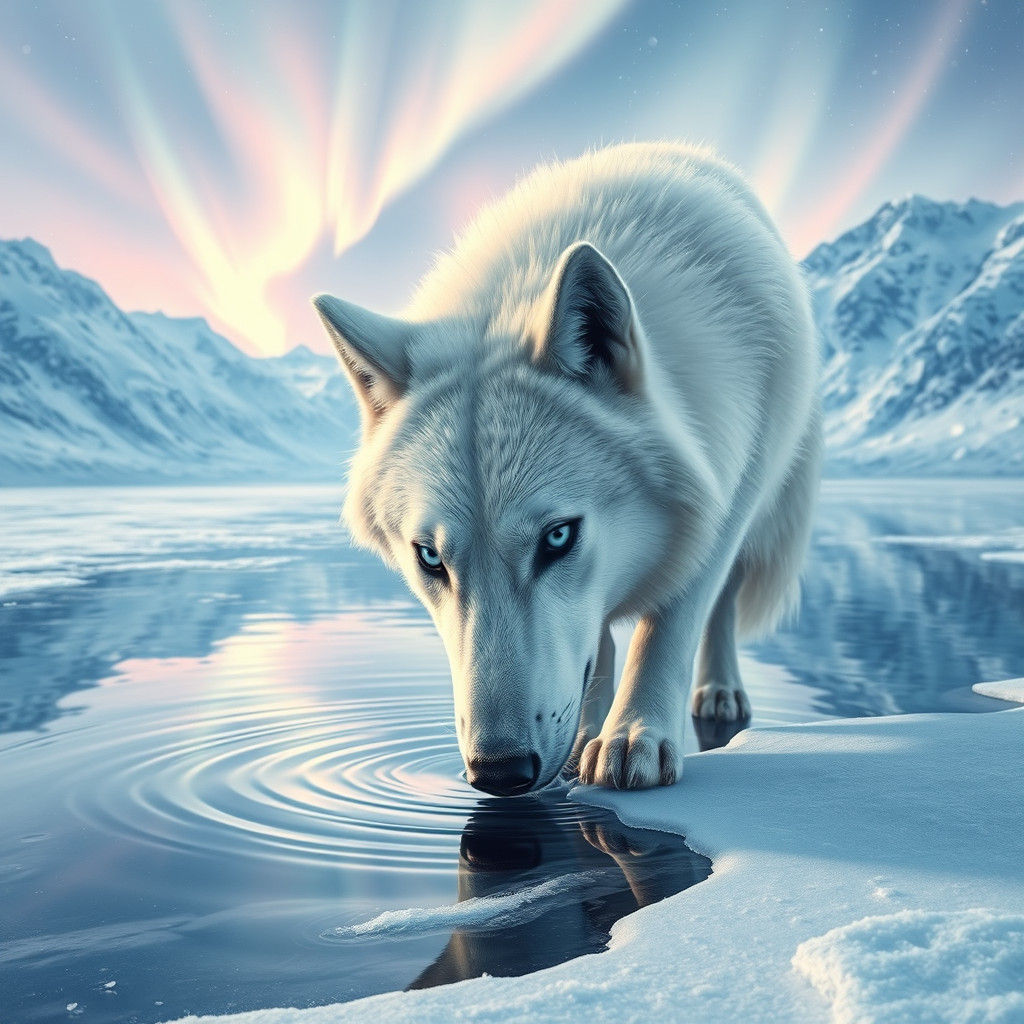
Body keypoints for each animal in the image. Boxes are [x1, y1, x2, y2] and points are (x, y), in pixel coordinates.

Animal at [314, 142, 821, 794]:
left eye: (557, 537)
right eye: (429, 558)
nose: (498, 771)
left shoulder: (721, 498)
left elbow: (668, 626)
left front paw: (634, 737)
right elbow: (595, 644)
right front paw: (586, 737)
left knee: (723, 604)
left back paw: (719, 690)